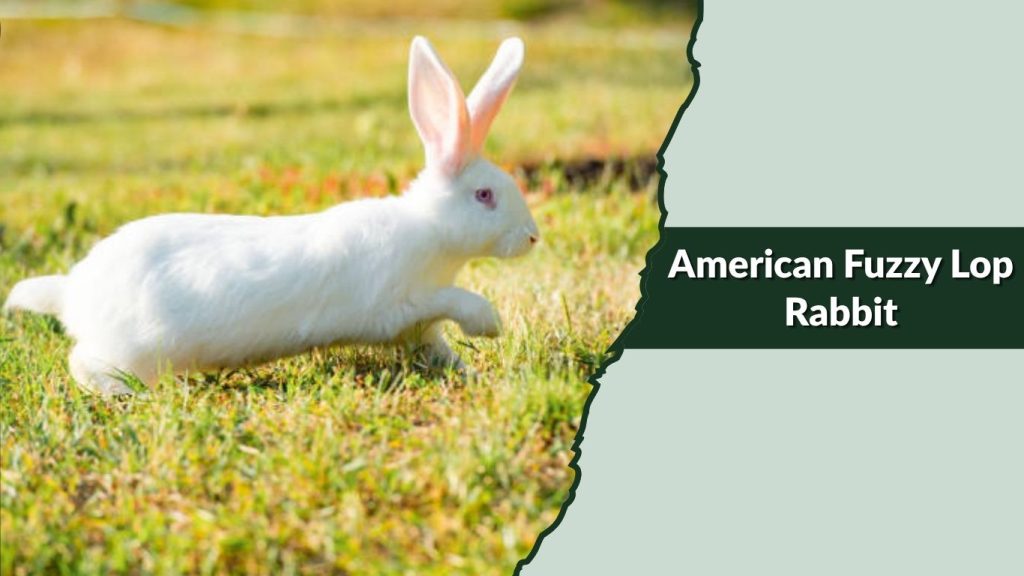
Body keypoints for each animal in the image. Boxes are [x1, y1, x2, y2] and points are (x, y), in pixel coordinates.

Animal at [3, 36, 539, 396]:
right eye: (485, 195)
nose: (532, 238)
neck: (429, 229)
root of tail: (72, 291)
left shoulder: (420, 330)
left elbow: (440, 351)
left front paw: (473, 372)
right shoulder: (402, 302)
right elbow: (455, 301)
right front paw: (489, 324)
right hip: (132, 348)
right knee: (83, 363)